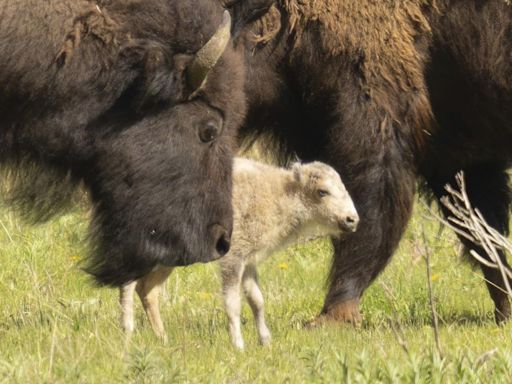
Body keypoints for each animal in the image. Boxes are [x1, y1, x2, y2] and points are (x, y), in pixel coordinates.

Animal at [120, 158, 360, 350]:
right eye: (322, 191)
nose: (352, 219)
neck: (280, 194)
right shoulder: (233, 260)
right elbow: (233, 303)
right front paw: (238, 345)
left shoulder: (249, 262)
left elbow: (257, 300)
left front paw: (265, 341)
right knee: (129, 284)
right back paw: (128, 331)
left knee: (147, 290)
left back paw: (163, 339)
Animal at [225, 0, 512, 324]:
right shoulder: (457, 156)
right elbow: (482, 233)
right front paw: (505, 308)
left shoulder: (375, 124)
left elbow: (369, 212)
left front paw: (333, 315)